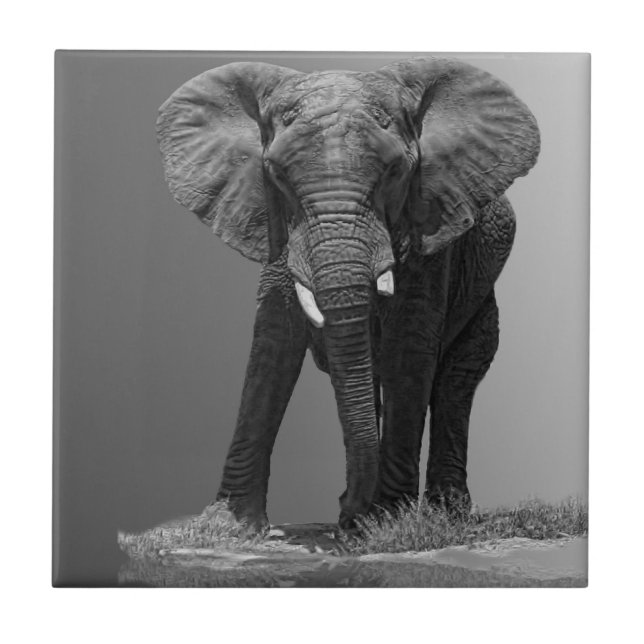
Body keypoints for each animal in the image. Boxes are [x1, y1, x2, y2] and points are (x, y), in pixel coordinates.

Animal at [156, 57, 540, 531]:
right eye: (276, 175)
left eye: (396, 172)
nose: (351, 511)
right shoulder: (271, 223)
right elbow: (273, 343)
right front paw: (230, 526)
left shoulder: (432, 225)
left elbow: (408, 348)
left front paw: (388, 521)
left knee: (456, 378)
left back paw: (442, 512)